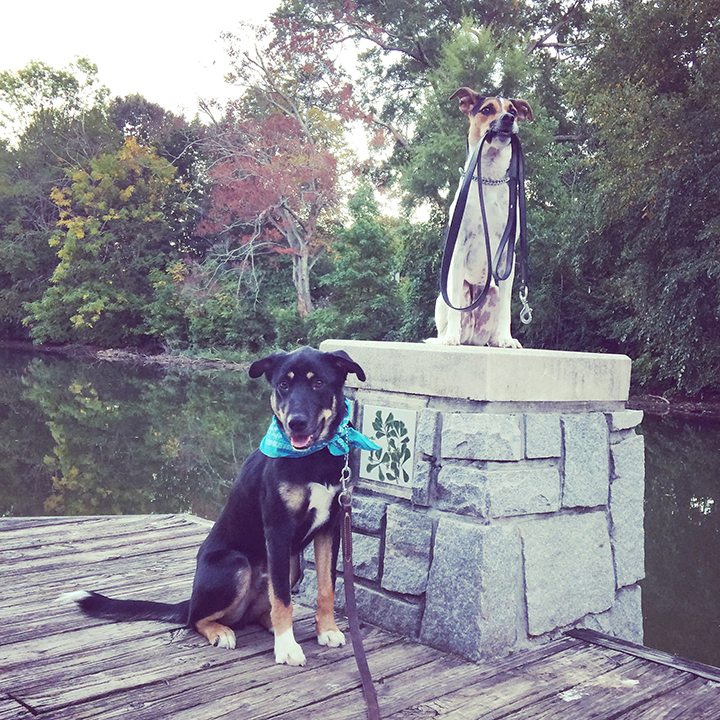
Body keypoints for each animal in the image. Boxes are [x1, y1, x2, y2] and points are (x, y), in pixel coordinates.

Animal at [63, 346, 372, 668]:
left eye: (318, 383)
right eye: (283, 385)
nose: (295, 423)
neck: (314, 458)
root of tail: (191, 600)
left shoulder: (329, 527)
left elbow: (326, 587)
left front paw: (328, 630)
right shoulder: (278, 530)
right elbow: (283, 600)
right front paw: (287, 647)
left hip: (291, 565)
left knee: (259, 610)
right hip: (236, 564)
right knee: (195, 620)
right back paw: (221, 632)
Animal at [430, 88, 532, 348]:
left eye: (513, 110)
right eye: (487, 109)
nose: (509, 118)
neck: (489, 179)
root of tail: (471, 339)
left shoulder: (507, 257)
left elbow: (507, 308)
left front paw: (507, 339)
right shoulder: (459, 248)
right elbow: (454, 305)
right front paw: (451, 338)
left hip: (492, 293)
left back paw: (496, 339)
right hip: (445, 296)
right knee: (450, 313)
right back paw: (449, 336)